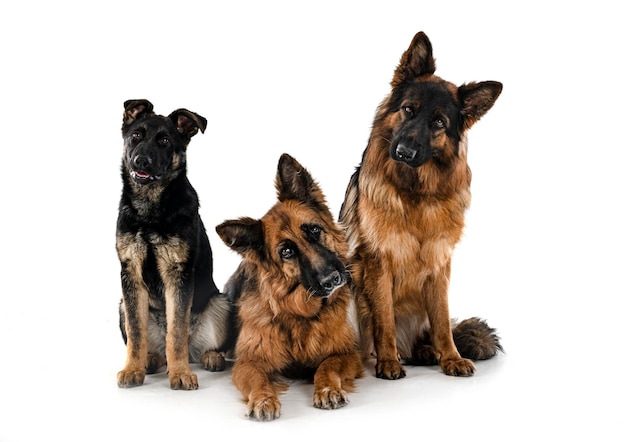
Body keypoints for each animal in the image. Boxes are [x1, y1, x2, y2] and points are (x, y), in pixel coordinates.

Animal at [114, 98, 232, 388]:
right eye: (136, 136)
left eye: (165, 141)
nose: (141, 161)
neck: (150, 211)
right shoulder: (130, 275)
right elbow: (136, 333)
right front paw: (132, 369)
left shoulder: (178, 274)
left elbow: (176, 332)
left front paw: (180, 374)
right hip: (122, 304)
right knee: (149, 343)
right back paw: (150, 360)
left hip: (222, 303)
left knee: (198, 345)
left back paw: (210, 357)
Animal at [216, 154, 360, 420]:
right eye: (287, 252)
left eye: (314, 229)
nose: (332, 279)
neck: (299, 314)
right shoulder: (249, 362)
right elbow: (258, 379)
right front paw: (263, 399)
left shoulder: (346, 354)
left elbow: (327, 367)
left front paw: (327, 389)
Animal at [338, 31, 500, 380]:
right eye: (408, 110)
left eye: (439, 122)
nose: (404, 152)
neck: (416, 195)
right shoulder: (377, 261)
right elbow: (384, 317)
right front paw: (388, 362)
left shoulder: (440, 265)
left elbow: (442, 319)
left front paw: (450, 357)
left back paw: (426, 351)